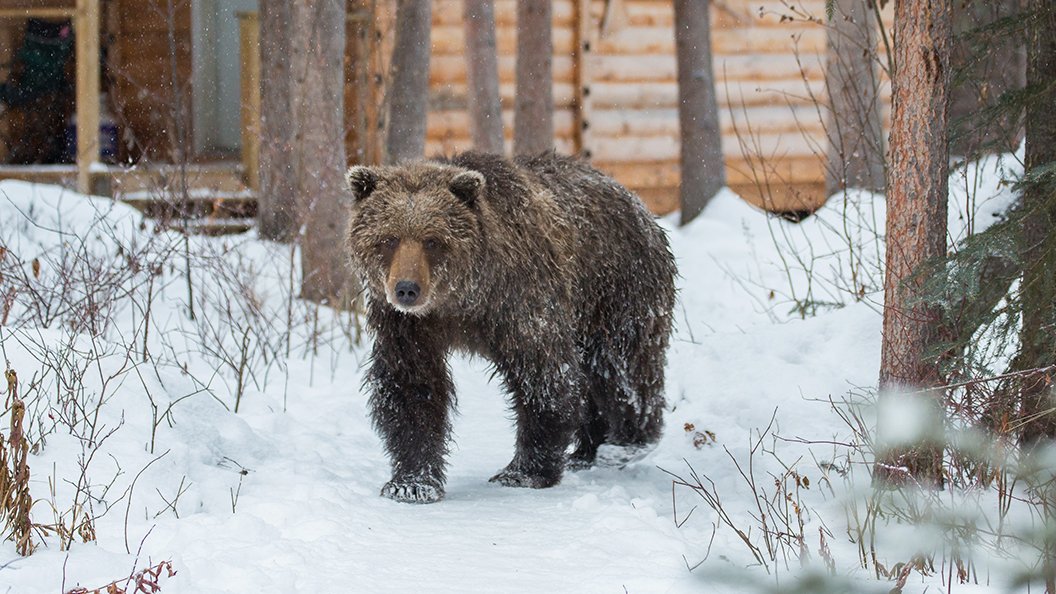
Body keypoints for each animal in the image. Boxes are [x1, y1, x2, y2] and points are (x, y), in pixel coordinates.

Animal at [346, 151, 675, 498]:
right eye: (388, 238)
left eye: (433, 240)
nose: (407, 289)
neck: (462, 300)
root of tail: (639, 205)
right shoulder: (407, 324)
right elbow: (412, 385)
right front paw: (411, 483)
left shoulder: (519, 301)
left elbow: (544, 375)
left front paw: (523, 472)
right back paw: (586, 453)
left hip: (616, 291)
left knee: (623, 367)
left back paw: (625, 443)